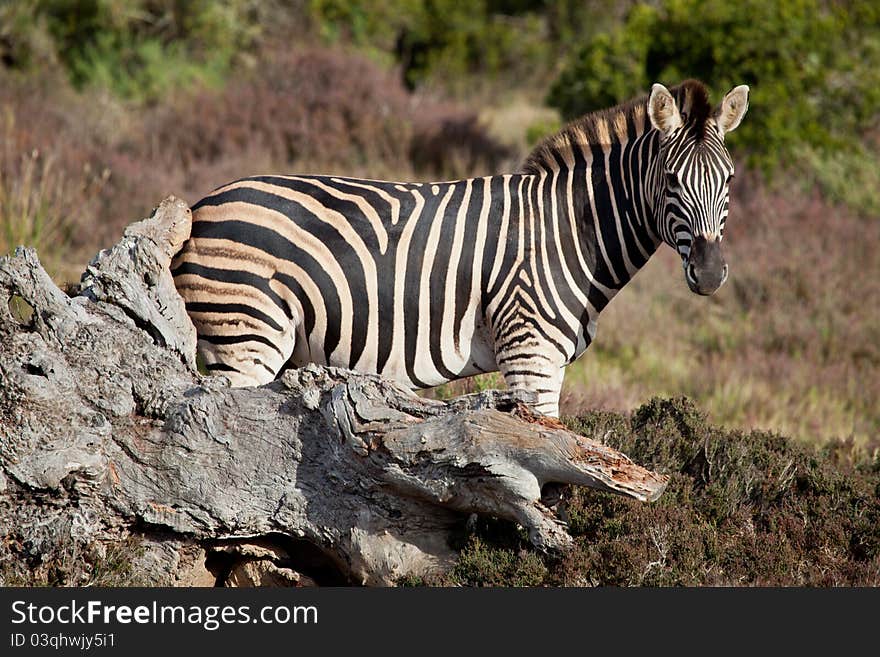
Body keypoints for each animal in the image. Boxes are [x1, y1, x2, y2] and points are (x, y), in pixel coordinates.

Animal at [172, 78, 748, 416]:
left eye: (730, 179)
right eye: (671, 180)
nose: (710, 274)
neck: (570, 233)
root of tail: (199, 206)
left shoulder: (550, 364)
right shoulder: (530, 355)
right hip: (246, 340)